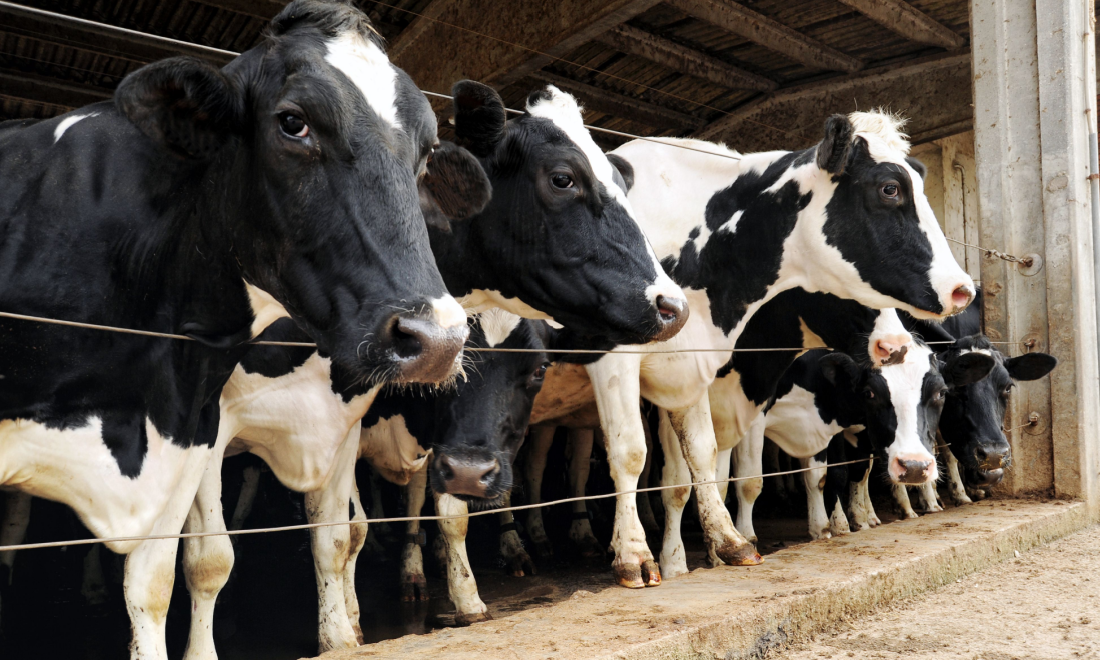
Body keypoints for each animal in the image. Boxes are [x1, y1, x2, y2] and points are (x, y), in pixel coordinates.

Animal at [0, 0, 490, 656]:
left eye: (428, 149)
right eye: (292, 122)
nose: (436, 340)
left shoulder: (189, 434)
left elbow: (160, 583)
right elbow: (210, 560)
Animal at [577, 112, 975, 588]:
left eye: (938, 394)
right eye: (890, 189)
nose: (963, 289)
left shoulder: (713, 380)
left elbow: (720, 467)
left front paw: (725, 547)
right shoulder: (626, 362)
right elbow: (652, 466)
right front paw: (658, 561)